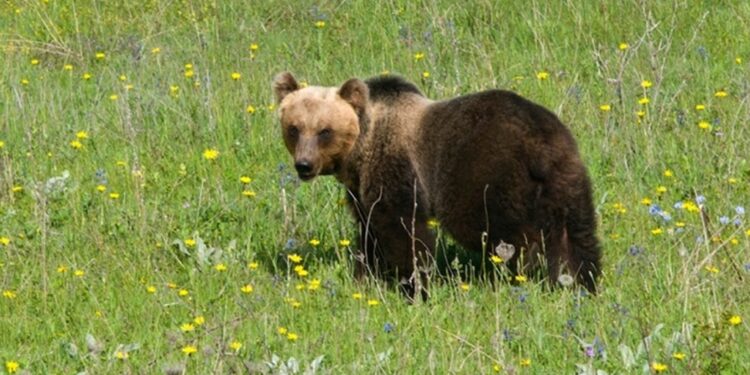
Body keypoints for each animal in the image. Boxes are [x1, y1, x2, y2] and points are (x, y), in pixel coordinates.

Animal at [274, 72, 604, 298]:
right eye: (294, 128)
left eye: (324, 131)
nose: (304, 165)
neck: (361, 149)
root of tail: (541, 144)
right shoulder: (360, 190)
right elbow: (368, 232)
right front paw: (365, 277)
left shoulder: (396, 169)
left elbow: (403, 229)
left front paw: (413, 285)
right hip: (566, 176)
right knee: (577, 233)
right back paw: (580, 280)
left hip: (484, 176)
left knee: (505, 231)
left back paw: (525, 273)